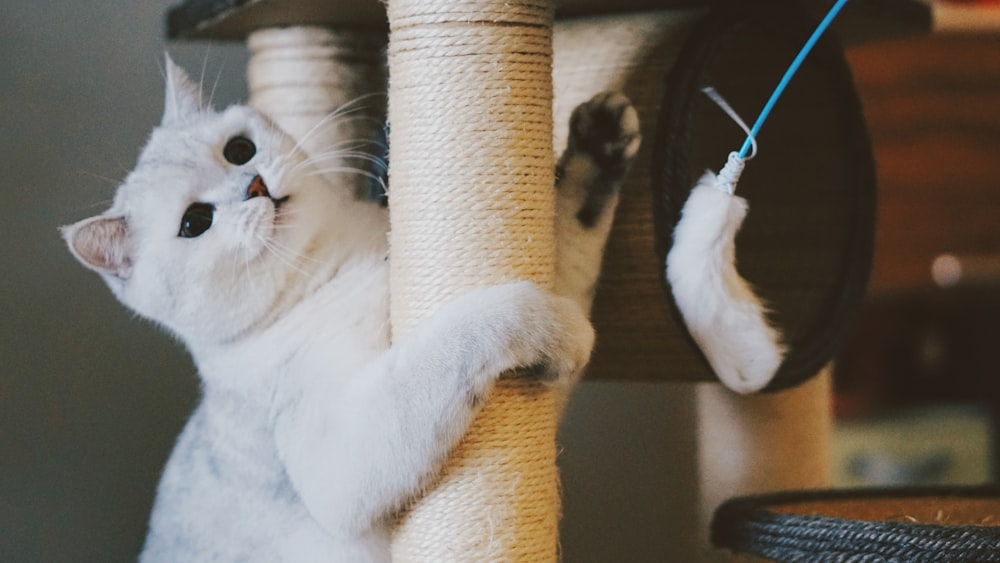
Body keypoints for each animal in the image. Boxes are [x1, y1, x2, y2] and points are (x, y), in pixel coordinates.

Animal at [62, 59, 640, 560]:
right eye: (195, 222)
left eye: (239, 149)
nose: (253, 186)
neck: (346, 255)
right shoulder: (341, 454)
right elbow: (459, 336)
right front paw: (545, 324)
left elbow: (571, 232)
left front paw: (599, 139)